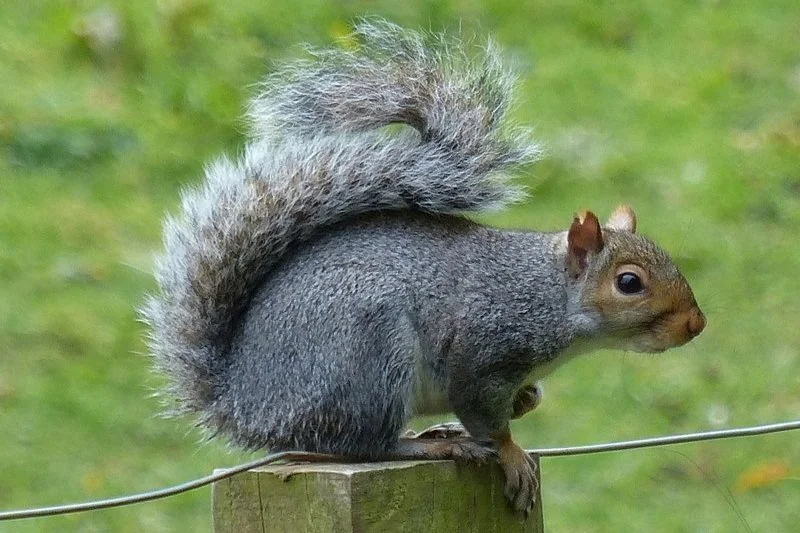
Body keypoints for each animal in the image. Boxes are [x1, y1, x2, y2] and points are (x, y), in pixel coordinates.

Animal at [141, 20, 706, 515]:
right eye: (629, 283)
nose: (696, 324)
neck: (546, 295)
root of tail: (245, 401)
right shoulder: (481, 349)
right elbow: (483, 413)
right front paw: (511, 455)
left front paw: (522, 402)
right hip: (367, 356)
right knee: (358, 445)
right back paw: (430, 445)